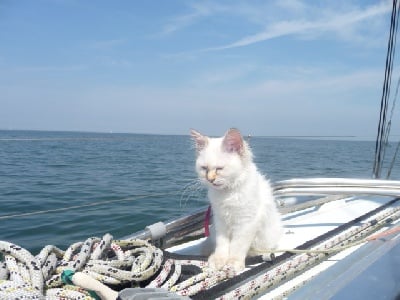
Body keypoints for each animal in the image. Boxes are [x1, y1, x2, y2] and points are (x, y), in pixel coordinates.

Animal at [191, 127, 282, 274]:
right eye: (204, 168)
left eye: (219, 168)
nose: (210, 179)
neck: (227, 193)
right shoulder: (220, 221)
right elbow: (222, 245)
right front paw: (218, 261)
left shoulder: (246, 223)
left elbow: (237, 246)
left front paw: (233, 263)